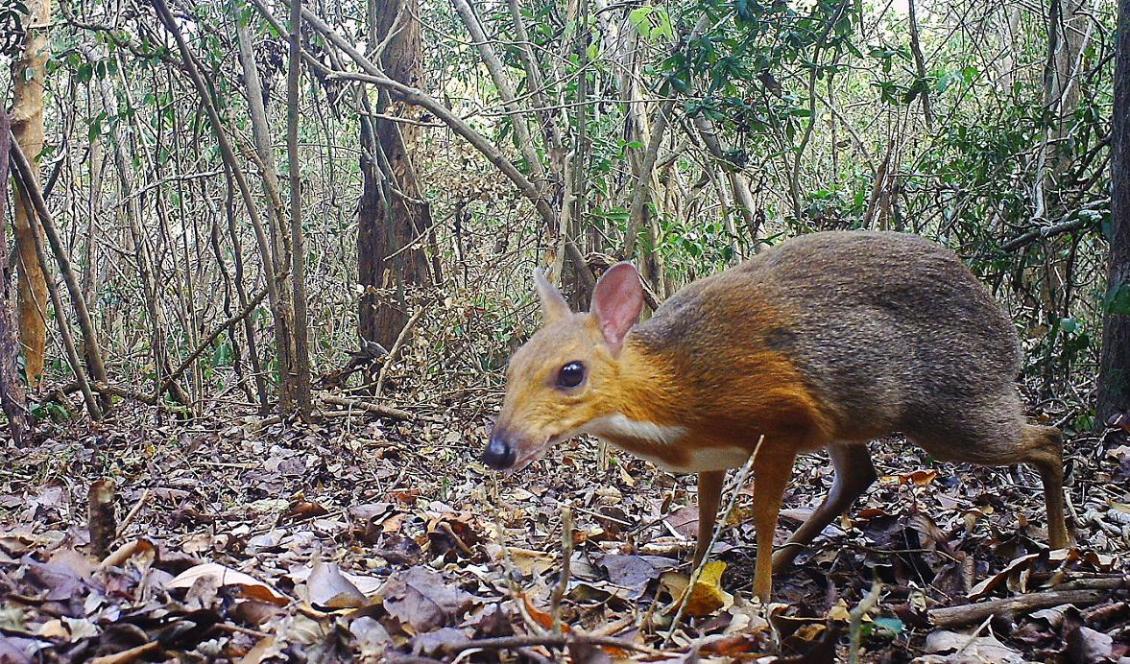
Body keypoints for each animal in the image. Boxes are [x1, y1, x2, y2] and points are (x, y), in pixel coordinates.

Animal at [483, 232, 1066, 600]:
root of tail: (1009, 334)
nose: (497, 450)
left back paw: (1064, 550)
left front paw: (760, 599)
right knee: (859, 476)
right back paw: (790, 558)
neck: (677, 390)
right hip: (854, 419)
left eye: (571, 372)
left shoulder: (783, 421)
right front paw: (695, 580)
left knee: (1049, 437)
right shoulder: (714, 454)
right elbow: (705, 517)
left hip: (956, 408)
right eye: (512, 366)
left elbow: (762, 514)